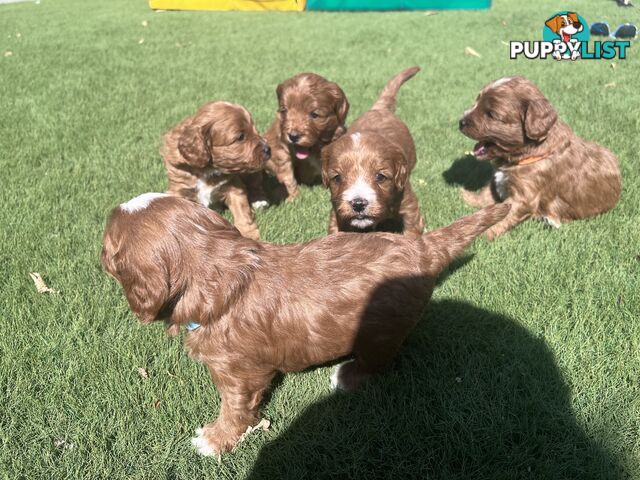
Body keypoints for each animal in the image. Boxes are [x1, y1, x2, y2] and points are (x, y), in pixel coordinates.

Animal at [100, 193, 510, 456]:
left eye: (107, 245)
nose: (98, 253)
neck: (219, 270)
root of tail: (422, 247)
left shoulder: (238, 372)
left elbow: (234, 408)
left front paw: (214, 440)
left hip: (381, 332)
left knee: (377, 362)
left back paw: (346, 377)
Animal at [161, 102, 272, 242]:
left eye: (255, 130)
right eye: (241, 137)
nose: (268, 149)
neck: (208, 169)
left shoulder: (234, 186)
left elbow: (242, 211)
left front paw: (249, 234)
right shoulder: (179, 189)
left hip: (252, 173)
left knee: (256, 184)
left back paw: (260, 201)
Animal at [262, 72, 350, 202]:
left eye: (314, 114)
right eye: (285, 111)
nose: (293, 136)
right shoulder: (278, 147)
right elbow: (286, 173)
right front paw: (292, 197)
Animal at [320, 66, 424, 235]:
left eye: (380, 177)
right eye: (337, 178)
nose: (358, 203)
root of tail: (379, 108)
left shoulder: (408, 202)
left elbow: (412, 228)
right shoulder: (337, 210)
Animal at [458, 76, 624, 239]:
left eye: (491, 114)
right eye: (477, 101)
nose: (461, 122)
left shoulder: (525, 195)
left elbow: (503, 215)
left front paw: (478, 235)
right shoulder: (497, 179)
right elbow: (486, 193)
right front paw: (465, 197)